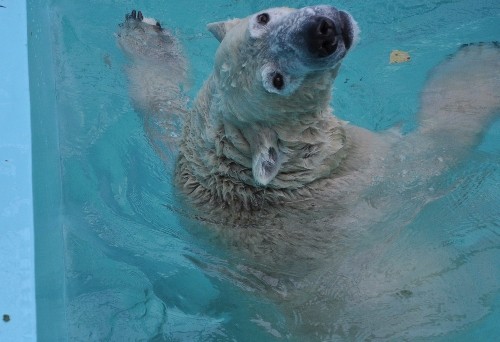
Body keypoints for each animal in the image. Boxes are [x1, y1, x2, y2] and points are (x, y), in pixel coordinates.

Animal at [118, 5, 500, 340]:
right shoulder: (375, 179)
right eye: (277, 80)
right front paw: (478, 62)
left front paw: (146, 38)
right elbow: (436, 149)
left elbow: (163, 116)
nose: (323, 31)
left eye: (263, 18)